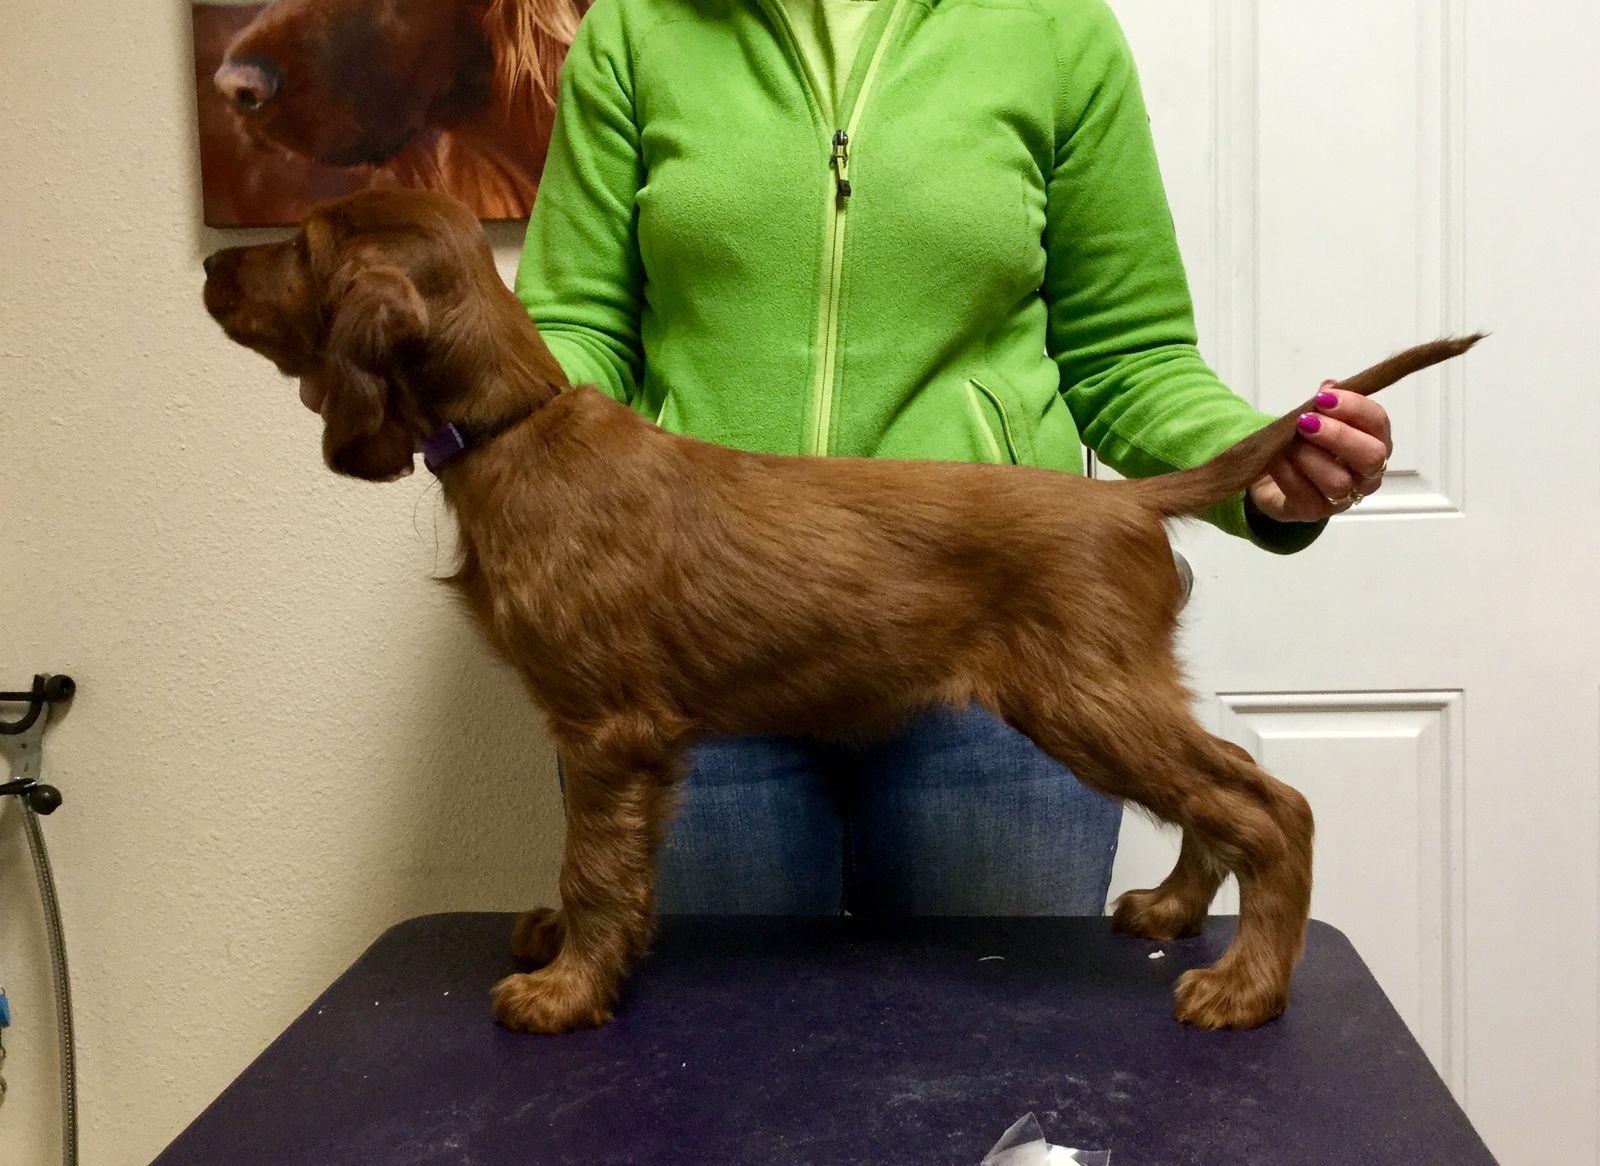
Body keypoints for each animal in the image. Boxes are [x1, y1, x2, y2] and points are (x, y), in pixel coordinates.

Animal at [202, 188, 1480, 1033]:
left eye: (300, 246)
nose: (209, 273)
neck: (519, 432)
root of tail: (1123, 498)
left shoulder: (610, 729)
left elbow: (597, 866)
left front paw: (563, 990)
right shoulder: (623, 741)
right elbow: (613, 870)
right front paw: (569, 948)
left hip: (1087, 697)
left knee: (1270, 800)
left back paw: (1244, 987)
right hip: (1108, 694)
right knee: (1226, 790)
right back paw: (1171, 905)